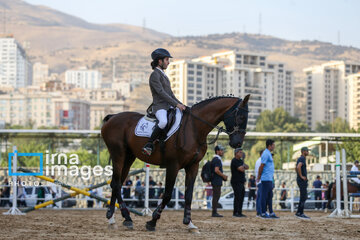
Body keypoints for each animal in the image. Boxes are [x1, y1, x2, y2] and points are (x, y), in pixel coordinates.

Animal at [100, 94, 249, 232]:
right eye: (240, 117)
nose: (238, 144)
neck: (194, 128)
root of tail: (112, 117)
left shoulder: (193, 166)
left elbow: (188, 195)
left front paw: (189, 223)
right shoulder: (173, 165)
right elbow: (167, 194)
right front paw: (152, 221)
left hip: (129, 157)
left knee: (116, 183)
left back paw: (112, 218)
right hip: (118, 155)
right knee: (117, 183)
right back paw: (126, 218)